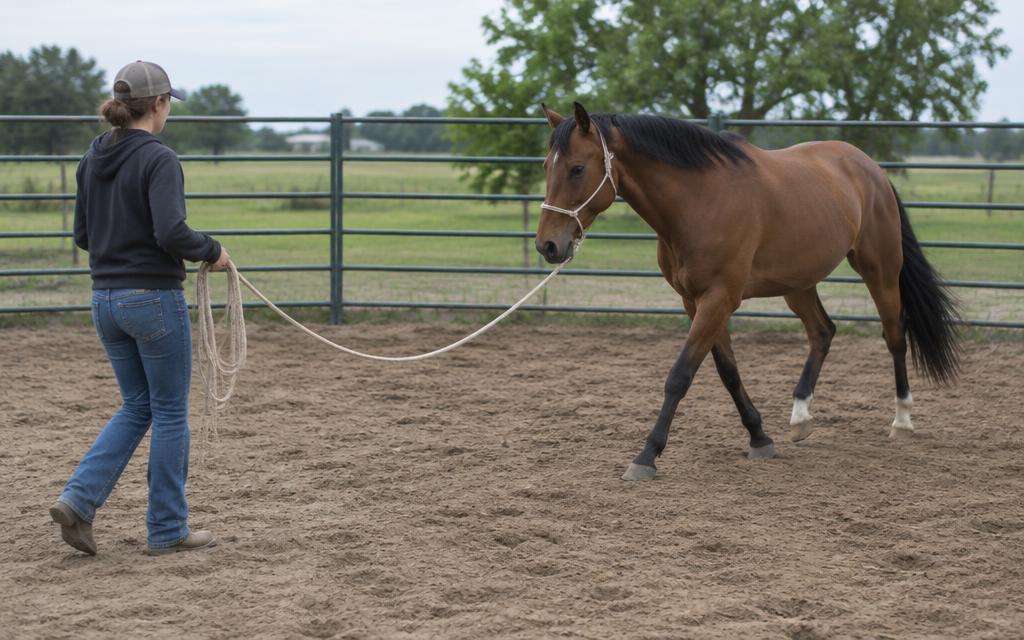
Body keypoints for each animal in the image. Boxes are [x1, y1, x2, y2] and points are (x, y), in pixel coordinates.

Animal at [535, 102, 960, 481]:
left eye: (577, 168)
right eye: (545, 167)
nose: (547, 246)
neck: (698, 200)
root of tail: (871, 168)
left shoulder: (719, 298)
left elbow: (680, 375)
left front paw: (647, 456)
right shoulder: (696, 302)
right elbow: (728, 371)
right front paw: (759, 437)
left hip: (880, 271)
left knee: (894, 336)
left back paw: (902, 421)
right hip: (798, 284)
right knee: (823, 332)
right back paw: (800, 417)